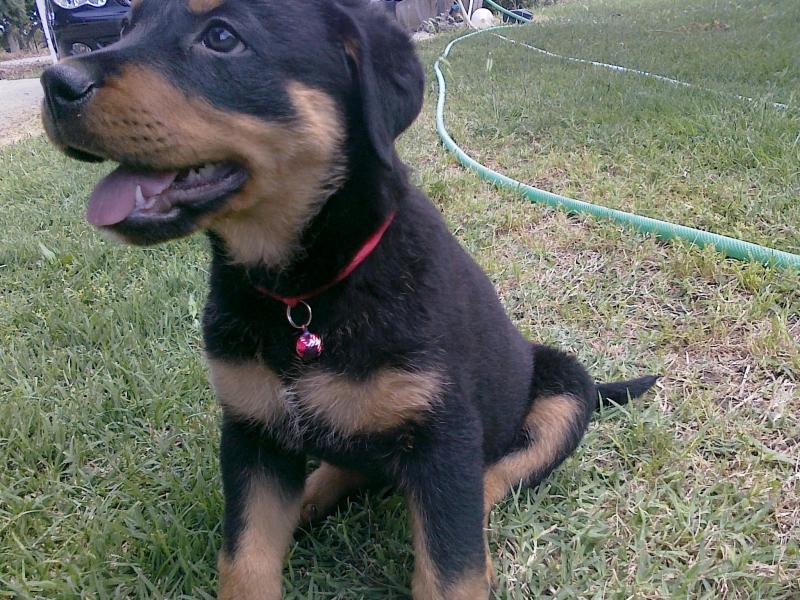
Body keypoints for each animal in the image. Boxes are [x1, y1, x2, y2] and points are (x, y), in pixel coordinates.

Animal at [40, 0, 657, 597]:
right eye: (125, 25)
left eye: (221, 36)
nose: (54, 83)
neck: (301, 294)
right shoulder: (252, 432)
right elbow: (244, 561)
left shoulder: (446, 431)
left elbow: (451, 571)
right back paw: (312, 496)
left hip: (565, 389)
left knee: (492, 478)